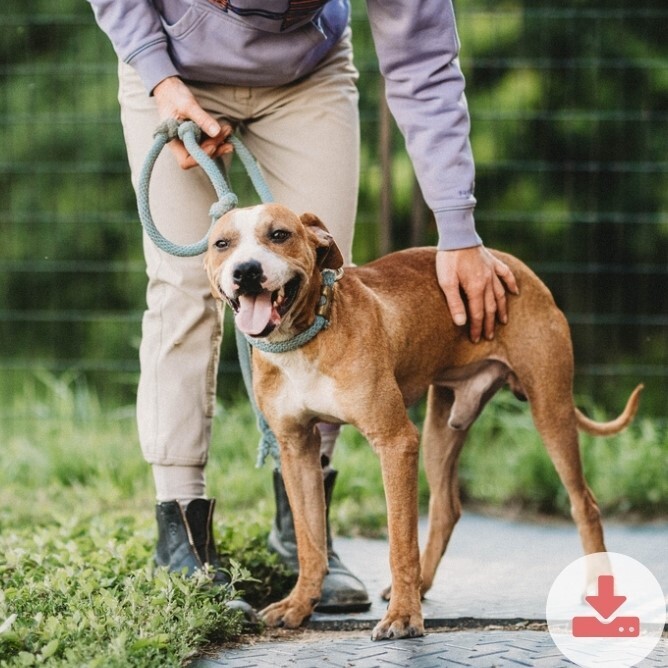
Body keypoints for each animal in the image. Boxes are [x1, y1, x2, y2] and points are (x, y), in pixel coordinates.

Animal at [205, 201, 640, 640]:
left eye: (279, 235)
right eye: (222, 244)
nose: (246, 271)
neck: (306, 337)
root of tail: (510, 263)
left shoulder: (395, 442)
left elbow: (400, 541)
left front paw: (402, 616)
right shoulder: (297, 449)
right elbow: (310, 541)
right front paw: (298, 604)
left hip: (550, 409)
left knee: (584, 502)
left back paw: (597, 583)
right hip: (440, 430)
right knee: (447, 507)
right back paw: (423, 583)